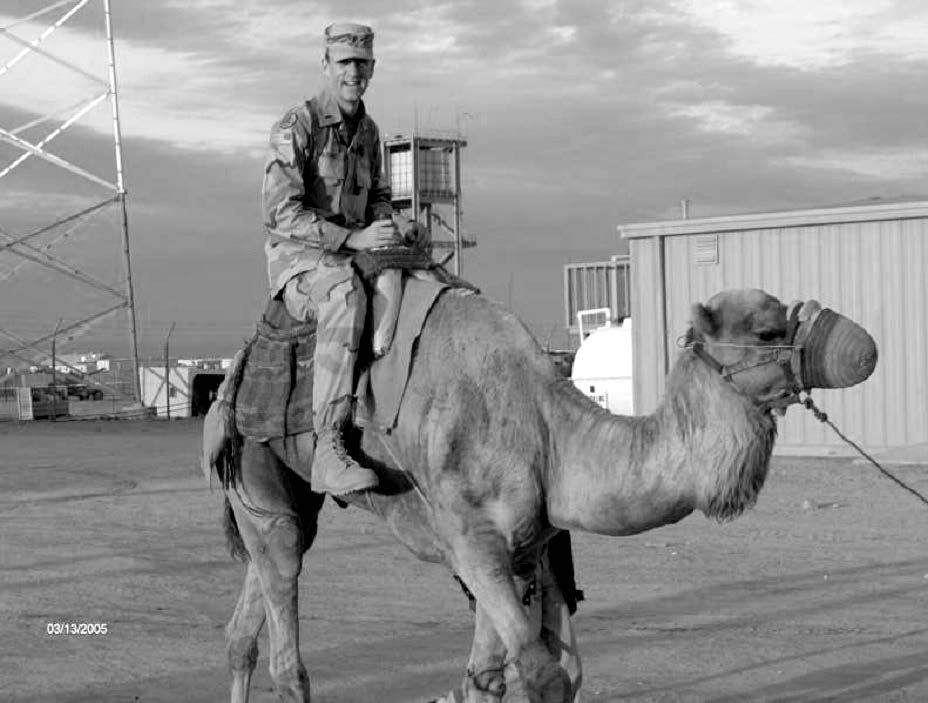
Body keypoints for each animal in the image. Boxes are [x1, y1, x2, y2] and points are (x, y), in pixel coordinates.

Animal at [208, 288, 876, 703]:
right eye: (767, 329)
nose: (863, 344)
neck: (550, 434)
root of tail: (231, 378)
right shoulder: (474, 545)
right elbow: (544, 675)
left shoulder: (525, 547)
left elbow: (497, 676)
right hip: (259, 474)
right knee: (287, 652)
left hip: (290, 505)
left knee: (245, 628)